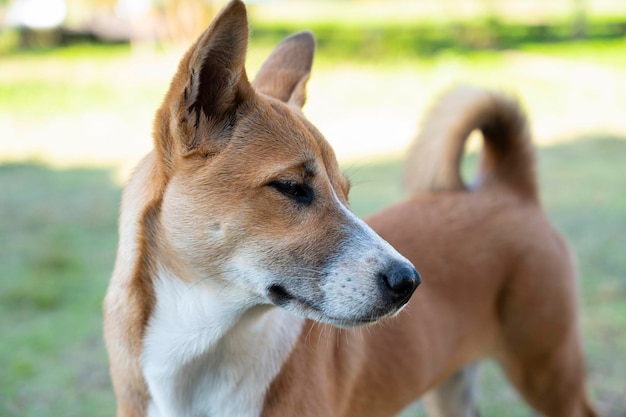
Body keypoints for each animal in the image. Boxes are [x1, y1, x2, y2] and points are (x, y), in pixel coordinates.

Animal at [105, 0, 596, 416]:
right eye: (291, 188)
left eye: (344, 192)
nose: (409, 282)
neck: (199, 346)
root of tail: (508, 188)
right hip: (452, 389)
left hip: (548, 372)